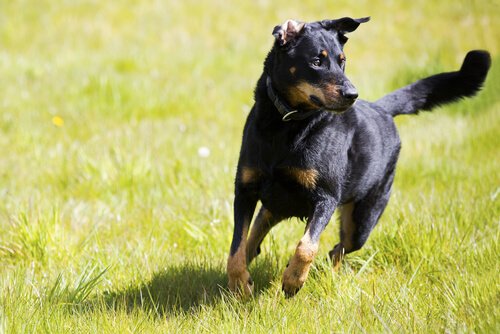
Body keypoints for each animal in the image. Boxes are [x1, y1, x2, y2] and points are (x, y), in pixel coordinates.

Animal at [227, 17, 492, 296]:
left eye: (342, 60)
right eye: (317, 61)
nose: (352, 94)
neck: (286, 123)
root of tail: (381, 109)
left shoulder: (325, 197)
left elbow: (307, 246)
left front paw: (293, 280)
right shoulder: (245, 190)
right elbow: (236, 246)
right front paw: (239, 283)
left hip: (363, 218)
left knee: (338, 248)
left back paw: (319, 273)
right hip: (280, 202)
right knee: (258, 233)